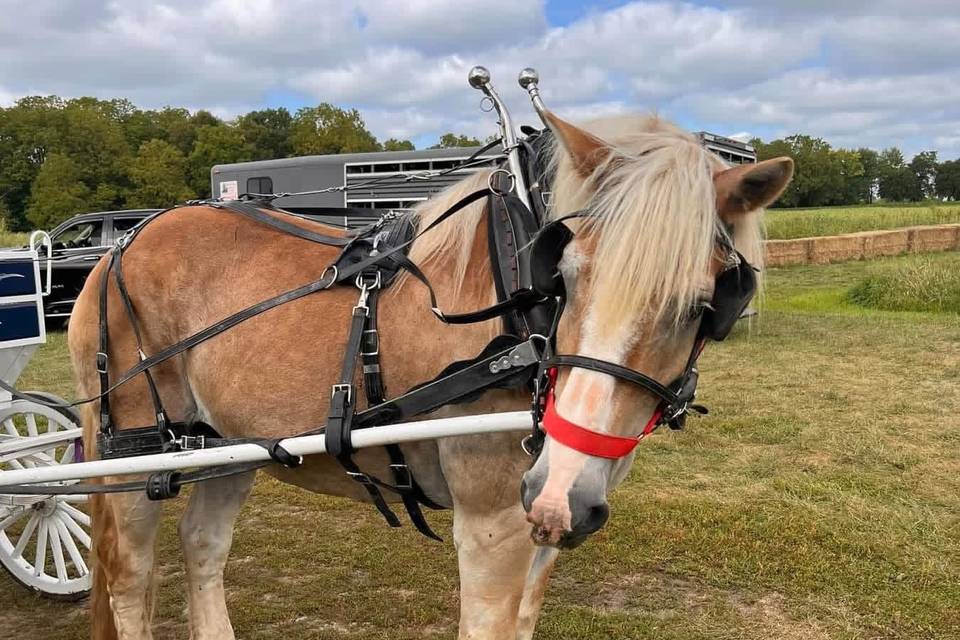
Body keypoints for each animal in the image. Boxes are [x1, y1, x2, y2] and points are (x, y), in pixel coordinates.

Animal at [68, 110, 792, 639]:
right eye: (566, 274)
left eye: (702, 305)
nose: (561, 492)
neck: (517, 309)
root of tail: (122, 245)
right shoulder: (495, 525)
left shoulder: (546, 521)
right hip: (134, 449)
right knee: (128, 579)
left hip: (226, 446)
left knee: (202, 545)